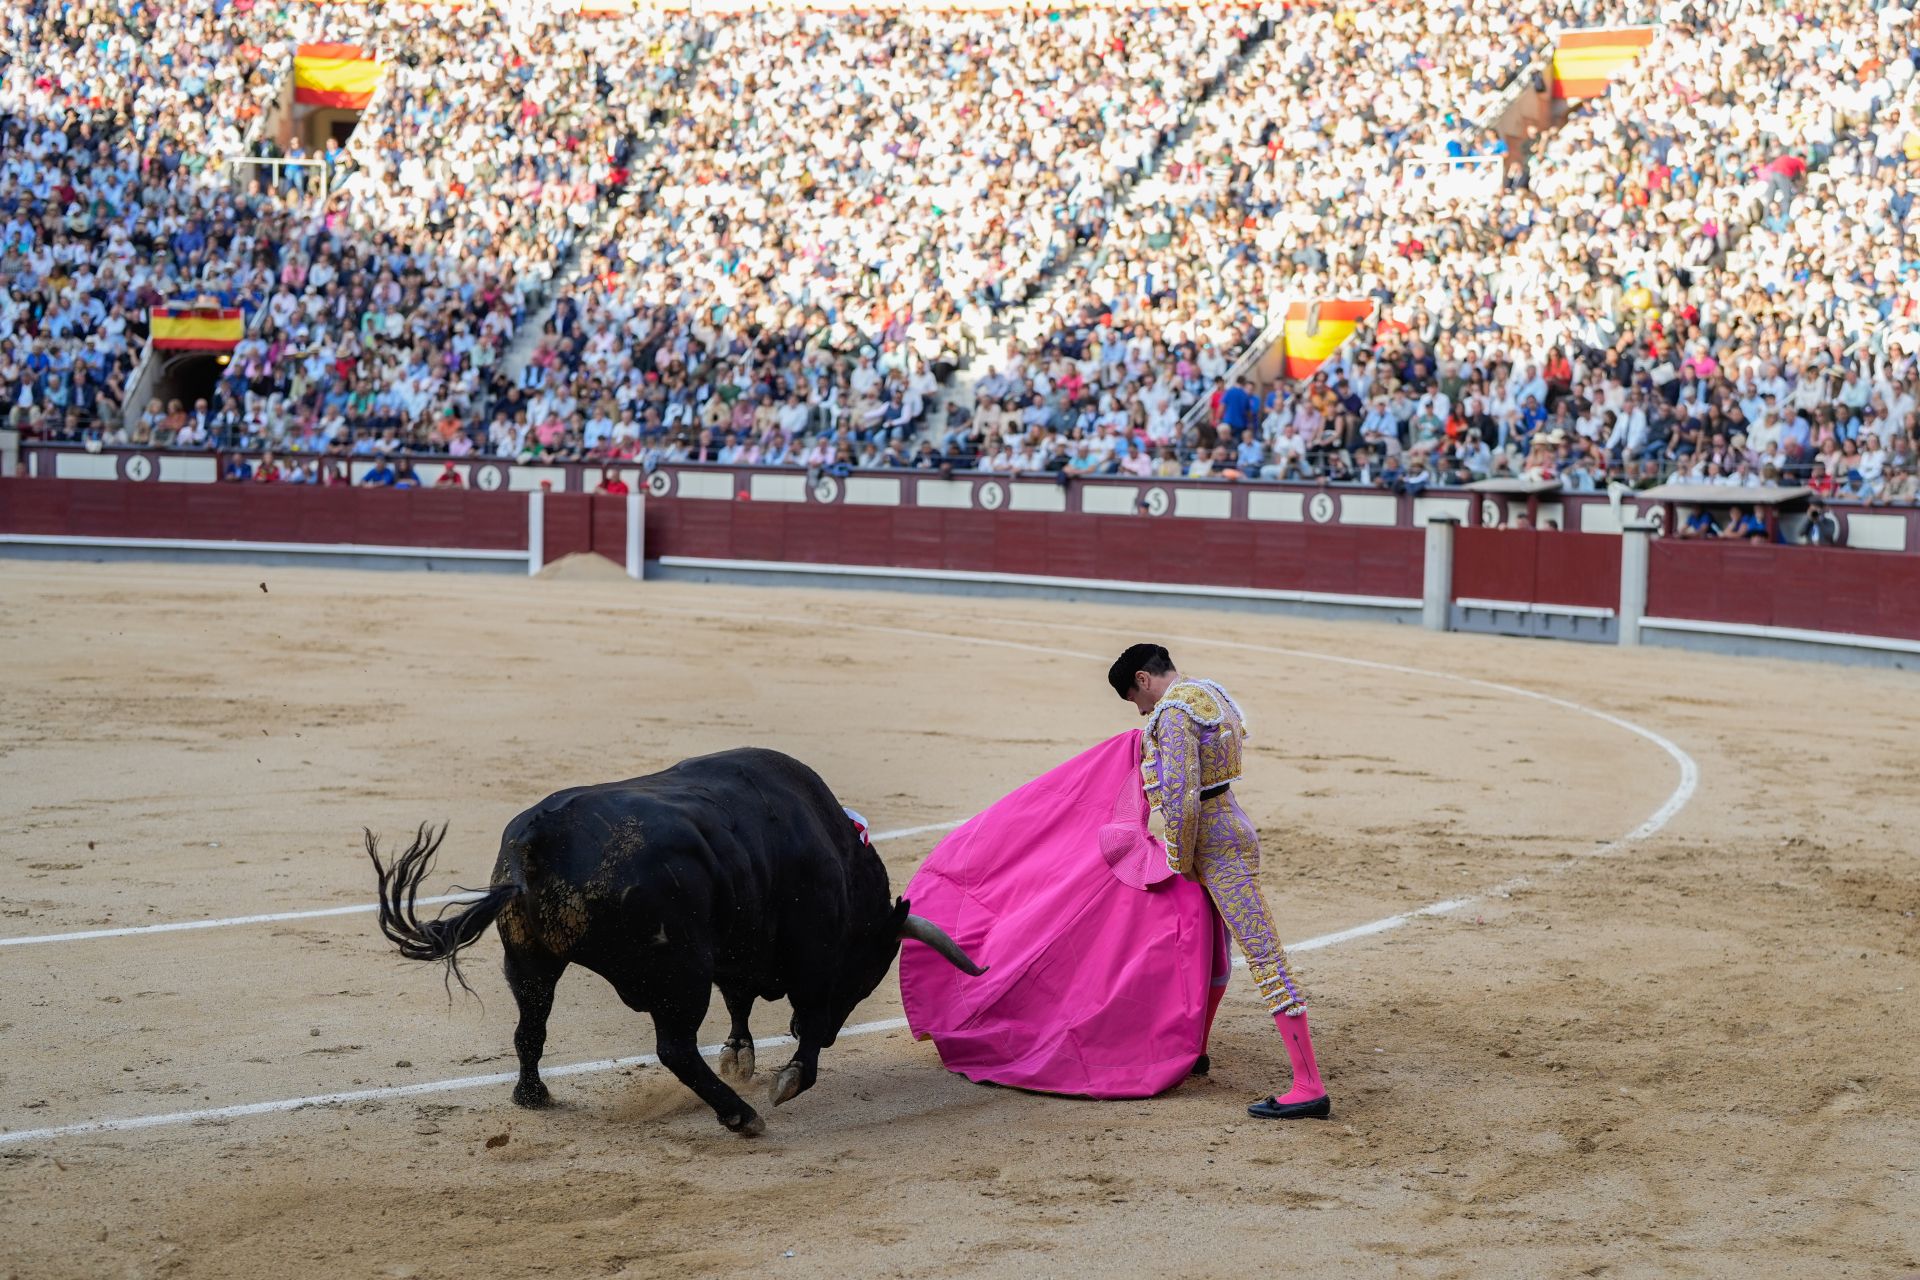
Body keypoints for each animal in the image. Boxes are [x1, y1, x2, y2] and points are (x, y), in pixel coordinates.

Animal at [368, 744, 990, 1136]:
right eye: (867, 974)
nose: (841, 1035)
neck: (836, 850)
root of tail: (538, 842)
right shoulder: (811, 958)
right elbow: (807, 1022)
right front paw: (787, 1080)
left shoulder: (740, 948)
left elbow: (740, 999)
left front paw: (741, 1055)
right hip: (678, 975)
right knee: (674, 1047)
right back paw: (741, 1117)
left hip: (529, 960)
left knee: (531, 1029)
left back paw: (533, 1097)